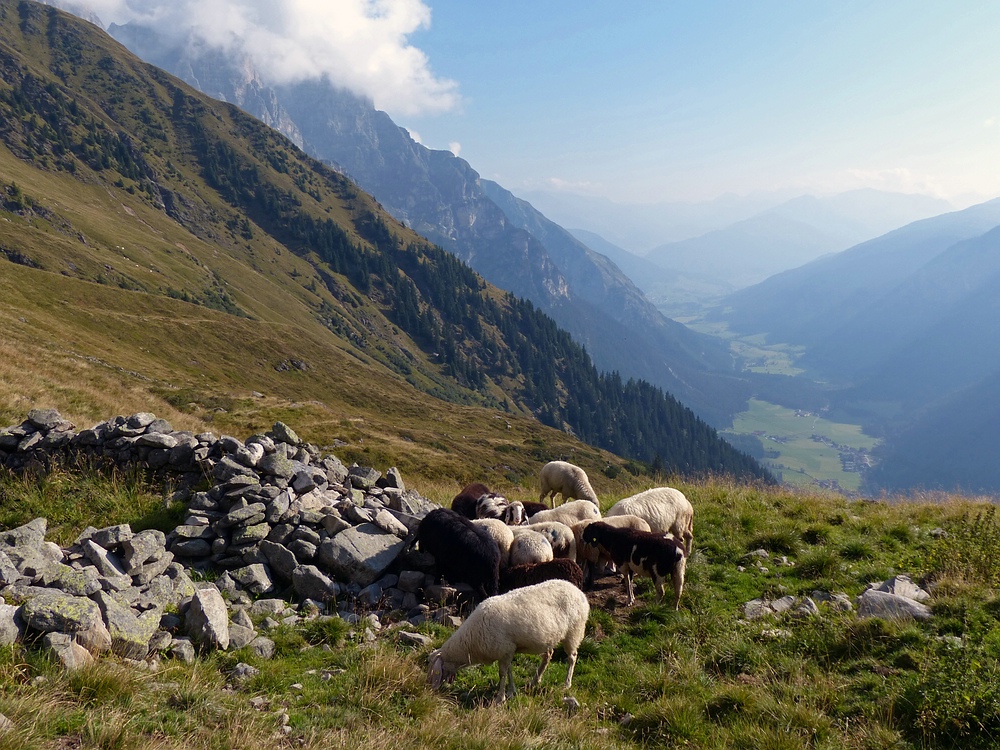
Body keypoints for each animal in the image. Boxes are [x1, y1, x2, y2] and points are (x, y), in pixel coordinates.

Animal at [426, 580, 588, 704]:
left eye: (434, 669)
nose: (427, 687)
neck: (470, 641)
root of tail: (578, 590)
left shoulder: (504, 649)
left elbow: (502, 673)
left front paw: (500, 697)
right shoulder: (508, 650)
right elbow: (509, 671)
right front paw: (511, 691)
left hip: (574, 631)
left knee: (572, 658)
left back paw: (566, 684)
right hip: (550, 636)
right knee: (548, 655)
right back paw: (535, 681)